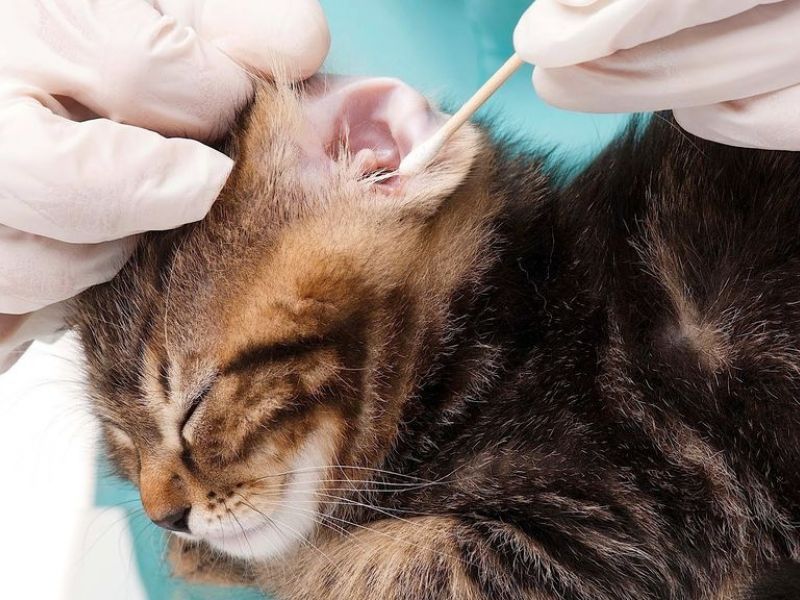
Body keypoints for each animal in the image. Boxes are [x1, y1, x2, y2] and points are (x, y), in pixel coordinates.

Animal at [72, 77, 800, 599]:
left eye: (194, 404)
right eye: (120, 439)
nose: (164, 515)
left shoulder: (616, 524)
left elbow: (346, 567)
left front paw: (230, 558)